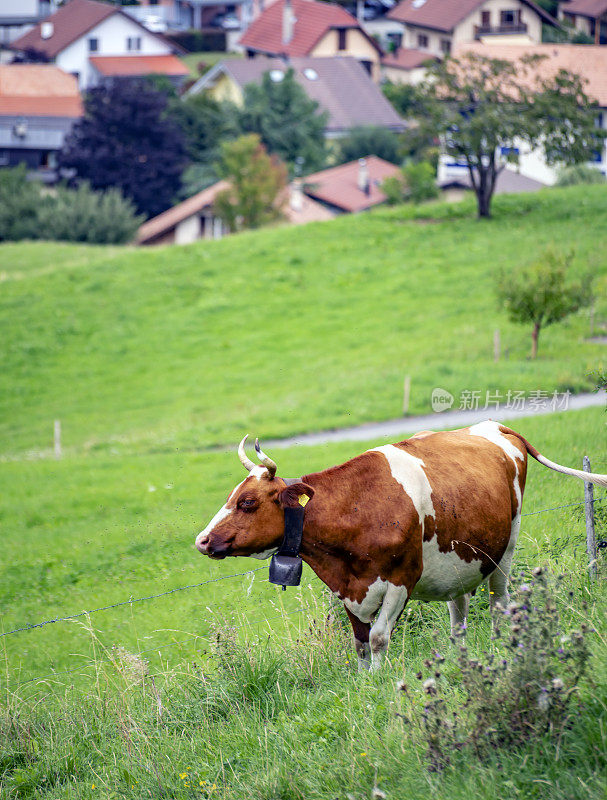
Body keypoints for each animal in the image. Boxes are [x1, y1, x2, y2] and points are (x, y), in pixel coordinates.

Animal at [196, 422, 607, 672]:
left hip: (505, 549)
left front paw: (379, 681)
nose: (202, 540)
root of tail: (493, 426)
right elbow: (360, 643)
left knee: (499, 601)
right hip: (458, 558)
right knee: (459, 609)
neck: (358, 507)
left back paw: (502, 644)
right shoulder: (348, 588)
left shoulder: (401, 579)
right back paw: (458, 652)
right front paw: (364, 682)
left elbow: (378, 637)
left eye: (248, 502)